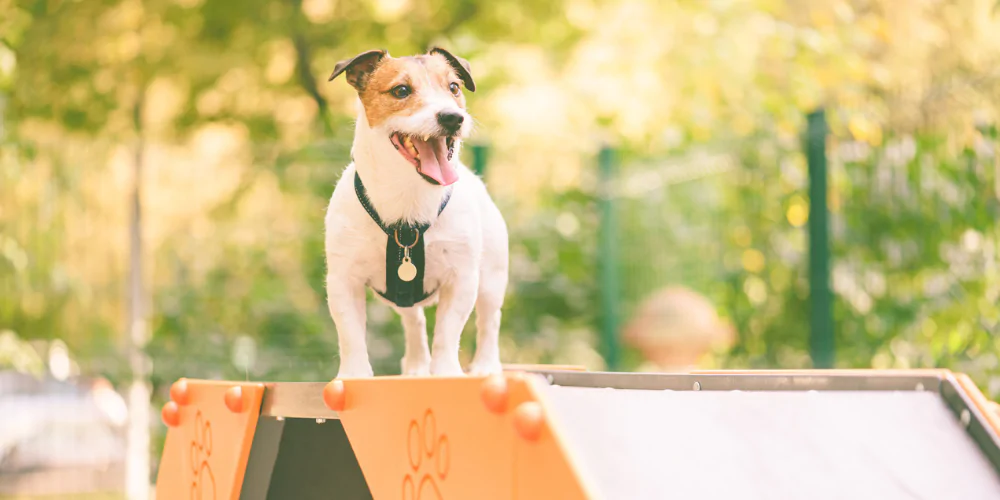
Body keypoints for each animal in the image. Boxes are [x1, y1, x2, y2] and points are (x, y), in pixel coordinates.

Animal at [324, 48, 508, 378]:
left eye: (454, 87)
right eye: (401, 90)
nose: (452, 117)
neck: (408, 205)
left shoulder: (461, 279)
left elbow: (448, 333)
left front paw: (446, 372)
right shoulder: (344, 280)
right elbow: (350, 334)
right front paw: (353, 375)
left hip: (491, 278)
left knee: (489, 320)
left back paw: (485, 365)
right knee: (414, 321)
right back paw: (416, 366)